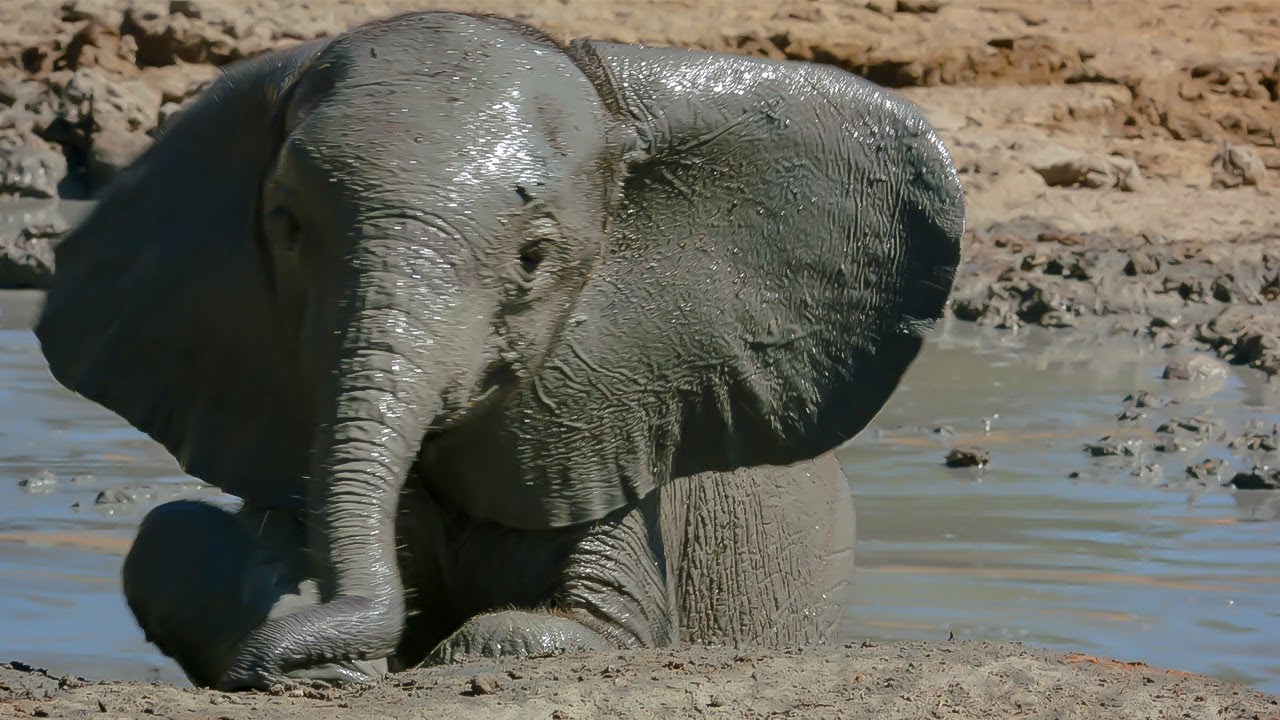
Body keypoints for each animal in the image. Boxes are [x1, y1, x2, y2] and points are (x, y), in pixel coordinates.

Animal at [34, 12, 964, 690]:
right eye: (287, 225)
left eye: (534, 257)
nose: (323, 667)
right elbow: (167, 544)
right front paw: (310, 641)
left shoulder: (619, 419)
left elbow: (592, 626)